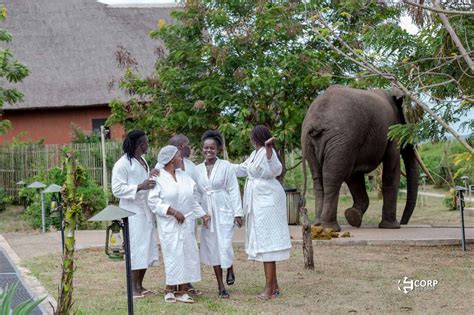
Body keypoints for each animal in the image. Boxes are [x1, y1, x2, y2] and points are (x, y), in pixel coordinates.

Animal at [304, 85, 418, 233]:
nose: (404, 222)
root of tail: (316, 120)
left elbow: (354, 176)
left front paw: (353, 217)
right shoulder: (391, 131)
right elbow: (391, 171)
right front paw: (392, 227)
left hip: (315, 143)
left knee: (319, 179)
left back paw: (318, 225)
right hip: (341, 140)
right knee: (333, 178)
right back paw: (331, 229)